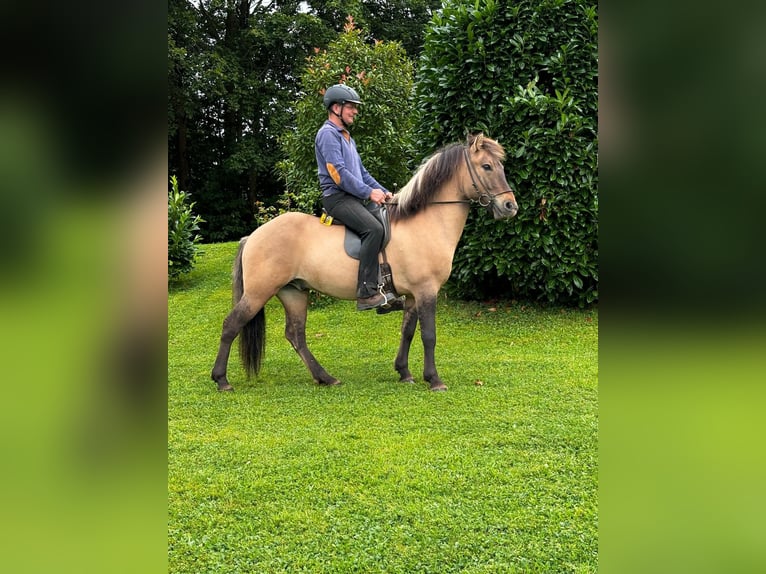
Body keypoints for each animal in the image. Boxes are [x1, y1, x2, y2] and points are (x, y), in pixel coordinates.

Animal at [213, 133, 520, 394]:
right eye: (487, 166)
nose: (510, 207)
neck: (424, 223)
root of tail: (253, 235)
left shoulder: (412, 295)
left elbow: (408, 332)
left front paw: (404, 372)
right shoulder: (426, 291)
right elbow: (429, 335)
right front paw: (434, 380)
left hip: (293, 292)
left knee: (296, 335)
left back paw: (325, 377)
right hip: (259, 292)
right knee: (231, 324)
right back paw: (221, 380)